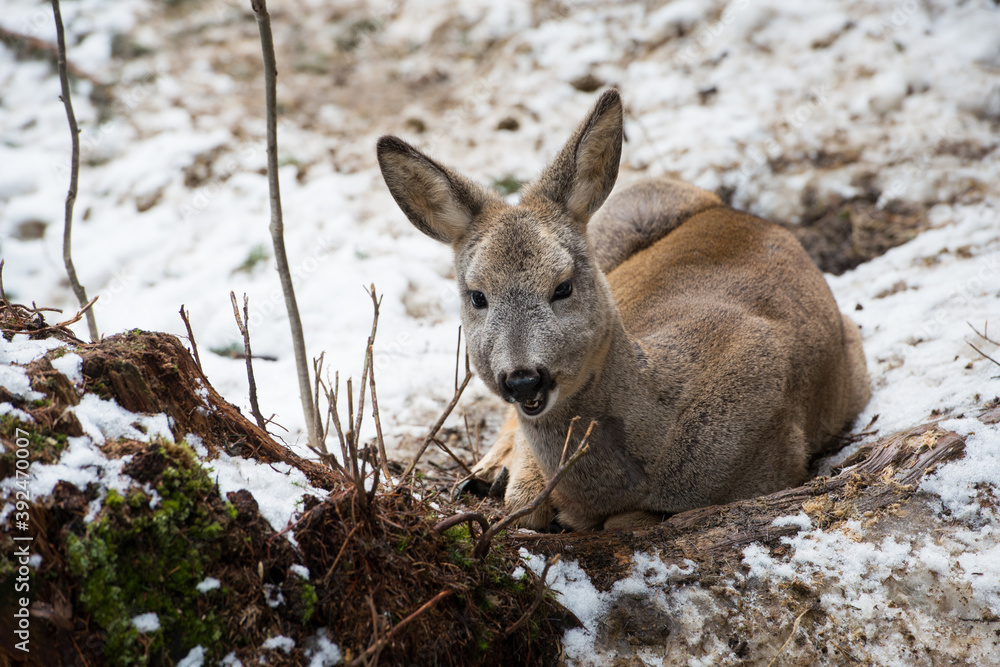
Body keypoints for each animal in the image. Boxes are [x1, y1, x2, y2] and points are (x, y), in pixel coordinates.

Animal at [376, 89, 870, 531]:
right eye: (477, 295)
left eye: (563, 286)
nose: (523, 379)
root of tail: (737, 212)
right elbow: (527, 503)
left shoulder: (774, 461)